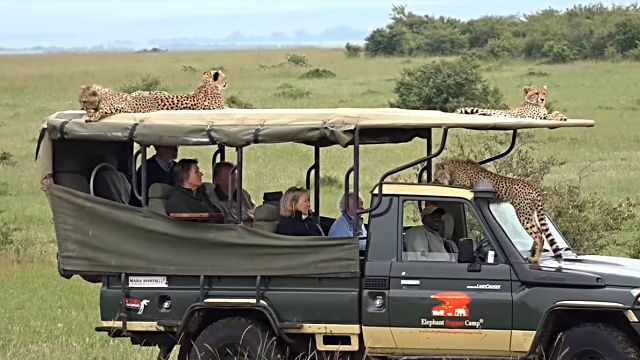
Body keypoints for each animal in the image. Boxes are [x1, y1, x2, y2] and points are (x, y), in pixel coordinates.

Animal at [432, 158, 564, 264]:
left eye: (437, 177)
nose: (434, 181)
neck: (452, 169)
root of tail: (531, 186)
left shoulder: (464, 184)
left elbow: (454, 185)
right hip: (529, 213)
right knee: (540, 231)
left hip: (523, 215)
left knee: (539, 236)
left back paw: (535, 259)